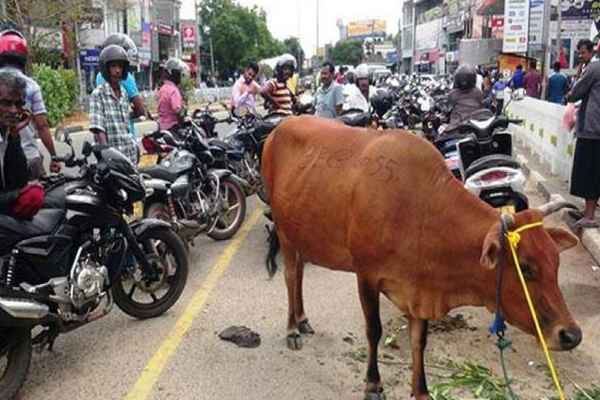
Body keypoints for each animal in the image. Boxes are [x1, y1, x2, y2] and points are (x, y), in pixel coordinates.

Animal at [262, 115, 580, 400]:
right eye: (525, 268)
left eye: (556, 263)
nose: (571, 335)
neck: (420, 210)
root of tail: (279, 128)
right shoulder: (366, 276)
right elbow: (374, 330)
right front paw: (373, 385)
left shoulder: (419, 287)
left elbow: (419, 340)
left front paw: (421, 391)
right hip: (284, 229)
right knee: (290, 275)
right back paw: (292, 329)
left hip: (302, 232)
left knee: (299, 272)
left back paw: (302, 318)